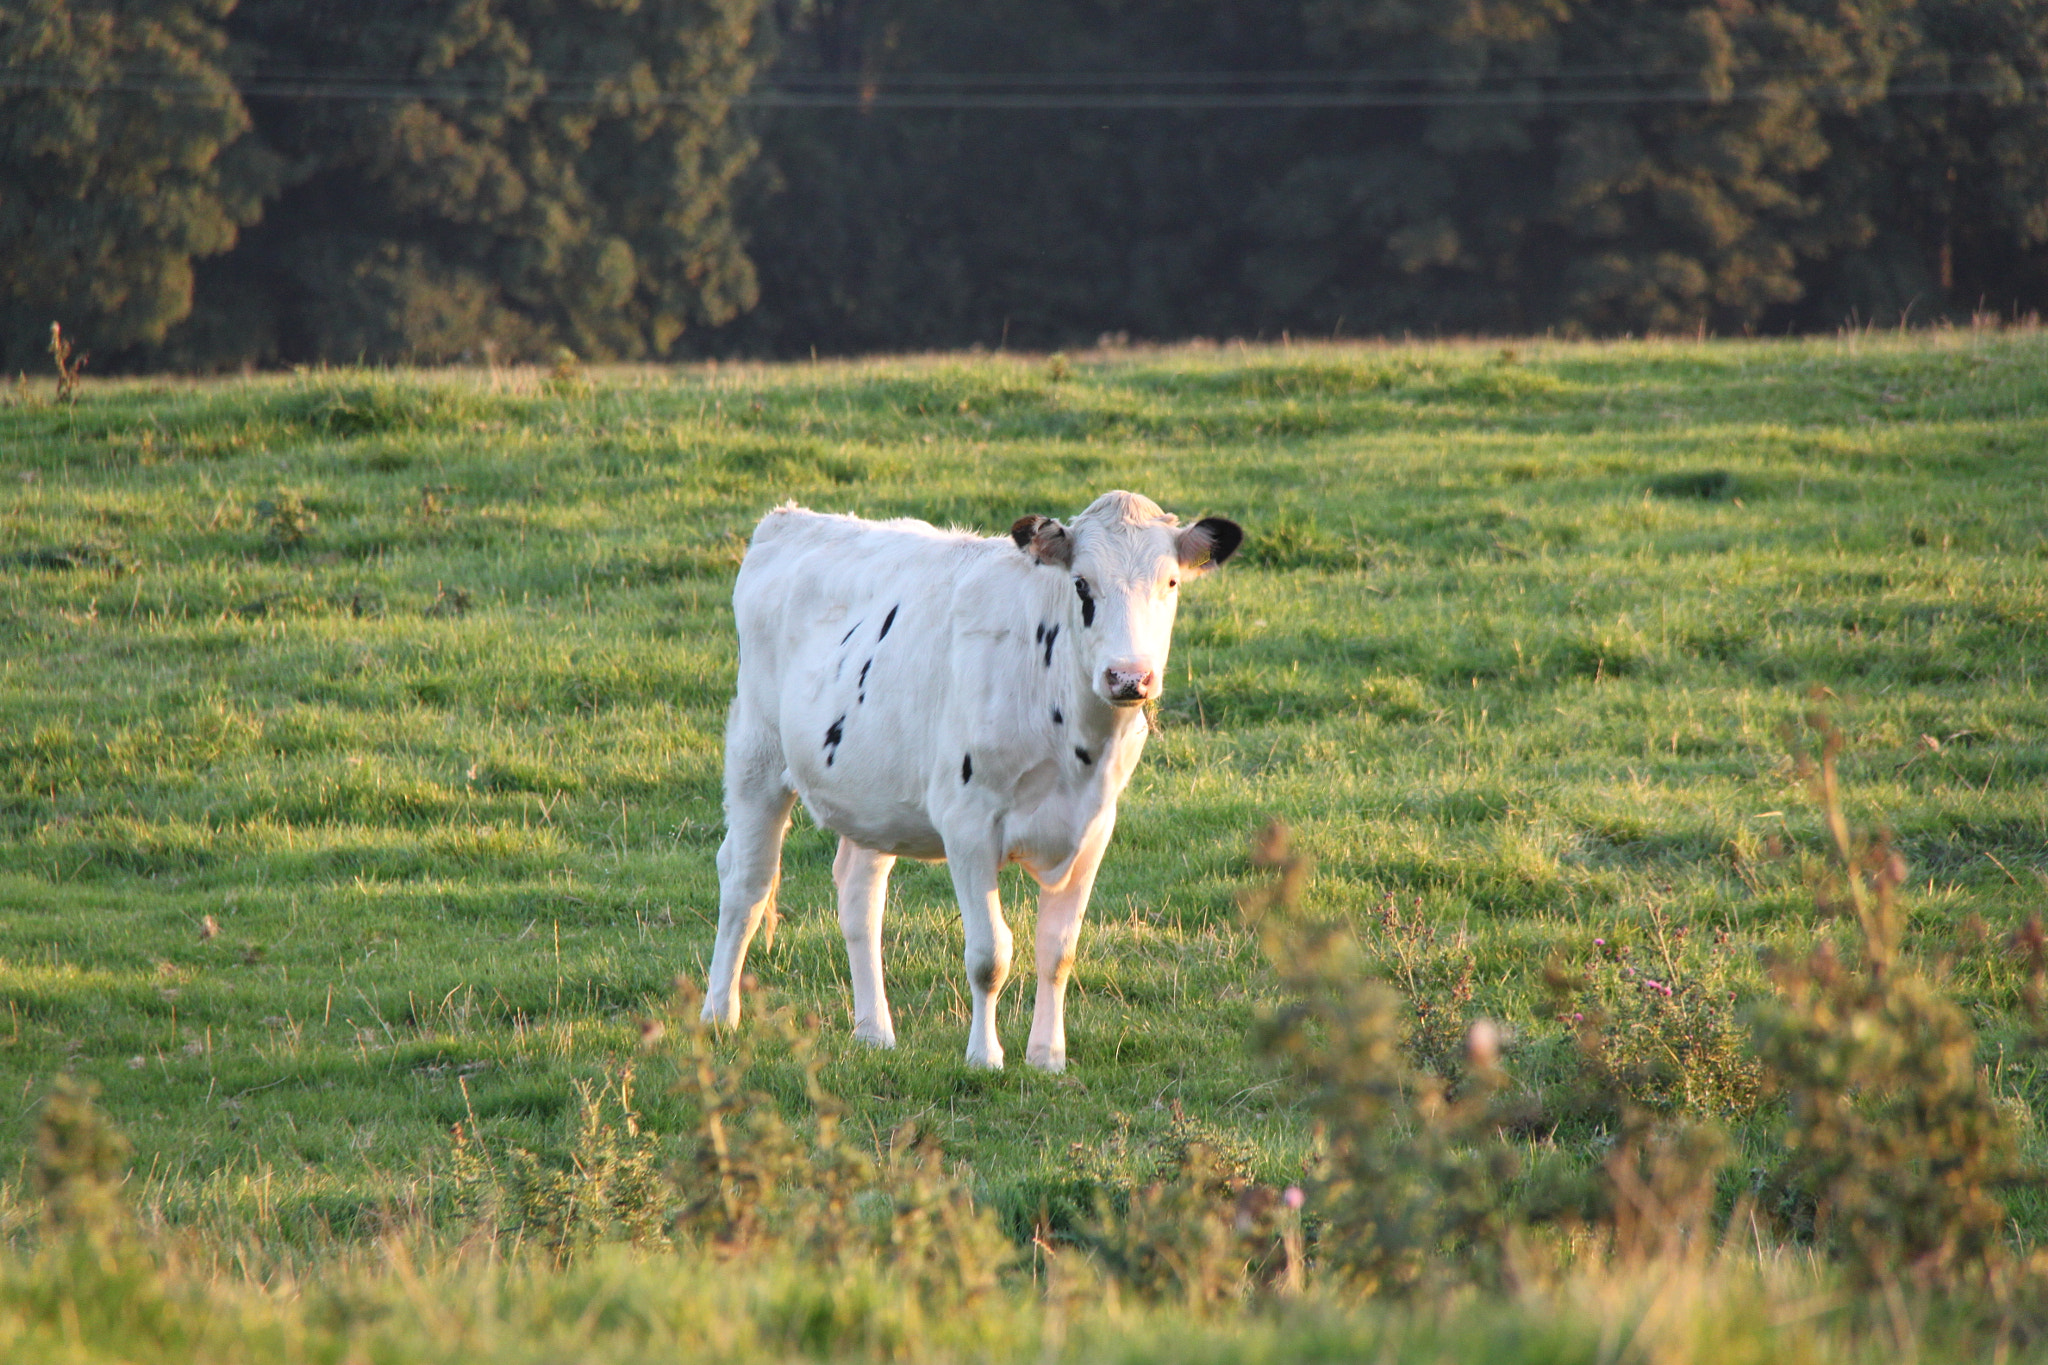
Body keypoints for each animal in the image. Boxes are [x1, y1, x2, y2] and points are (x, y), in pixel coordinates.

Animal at [700, 490, 1243, 1070]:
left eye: (1171, 583)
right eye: (1081, 584)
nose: (1128, 677)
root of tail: (790, 518)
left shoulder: (1094, 829)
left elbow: (1058, 951)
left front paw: (1048, 1056)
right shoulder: (968, 824)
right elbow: (990, 955)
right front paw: (984, 1057)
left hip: (874, 794)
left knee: (859, 897)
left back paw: (874, 1031)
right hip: (756, 754)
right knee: (746, 882)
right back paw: (720, 1014)